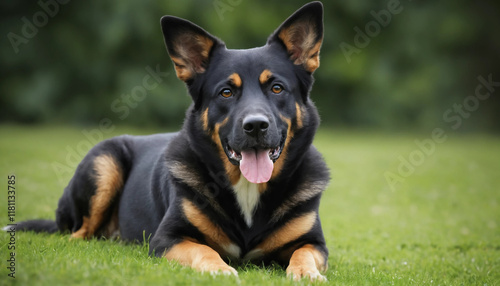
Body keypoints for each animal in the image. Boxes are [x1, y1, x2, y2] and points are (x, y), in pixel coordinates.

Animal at [13, 0, 330, 282]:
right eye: (226, 92)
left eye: (277, 88)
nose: (255, 126)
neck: (248, 188)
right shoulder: (167, 239)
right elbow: (204, 250)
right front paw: (218, 269)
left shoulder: (314, 243)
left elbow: (303, 253)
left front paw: (306, 273)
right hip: (104, 164)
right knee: (77, 235)